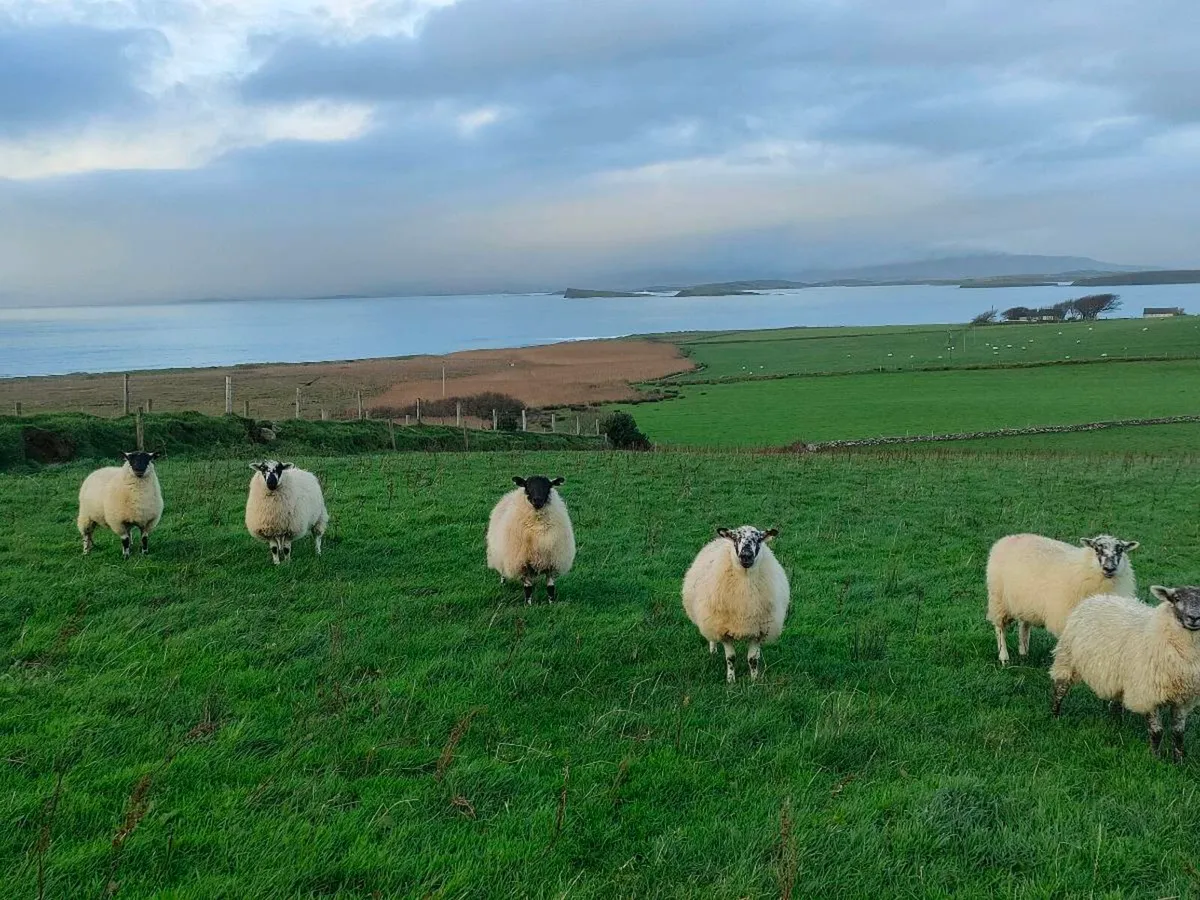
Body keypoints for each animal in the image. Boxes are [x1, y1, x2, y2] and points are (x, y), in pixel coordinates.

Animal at [486, 475, 575, 604]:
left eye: (548, 486)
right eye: (527, 486)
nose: (537, 500)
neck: (538, 527)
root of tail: (509, 494)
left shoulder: (551, 560)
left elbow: (550, 588)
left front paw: (551, 603)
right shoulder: (523, 562)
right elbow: (528, 588)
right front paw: (528, 604)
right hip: (502, 553)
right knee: (502, 570)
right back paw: (503, 582)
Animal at [682, 526, 789, 683]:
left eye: (758, 539)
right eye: (735, 538)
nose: (746, 555)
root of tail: (719, 539)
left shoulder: (758, 630)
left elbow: (753, 659)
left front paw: (754, 680)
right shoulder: (723, 630)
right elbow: (731, 658)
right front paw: (731, 680)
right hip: (709, 619)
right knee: (711, 637)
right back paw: (713, 651)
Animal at [986, 533, 1138, 665]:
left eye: (1120, 550)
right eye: (1096, 549)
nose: (1109, 568)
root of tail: (1009, 538)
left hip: (1024, 601)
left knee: (1024, 625)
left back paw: (1024, 652)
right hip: (999, 598)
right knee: (1000, 628)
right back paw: (1004, 657)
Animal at [1051, 585, 1200, 762]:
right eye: (1176, 599)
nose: (1194, 618)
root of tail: (1098, 597)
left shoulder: (1183, 698)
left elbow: (1178, 733)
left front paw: (1179, 762)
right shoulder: (1146, 693)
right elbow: (1157, 731)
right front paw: (1155, 760)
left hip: (1116, 676)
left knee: (1115, 703)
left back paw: (1117, 726)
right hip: (1067, 657)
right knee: (1060, 688)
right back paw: (1055, 716)